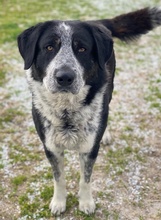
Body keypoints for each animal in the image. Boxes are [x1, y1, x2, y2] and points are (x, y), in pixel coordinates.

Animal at [17, 6, 161, 215]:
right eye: (49, 47)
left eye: (82, 49)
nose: (64, 77)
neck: (67, 112)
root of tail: (95, 22)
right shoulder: (51, 147)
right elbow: (59, 178)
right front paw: (59, 202)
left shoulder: (89, 148)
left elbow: (85, 178)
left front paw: (86, 203)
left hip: (110, 86)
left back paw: (105, 133)